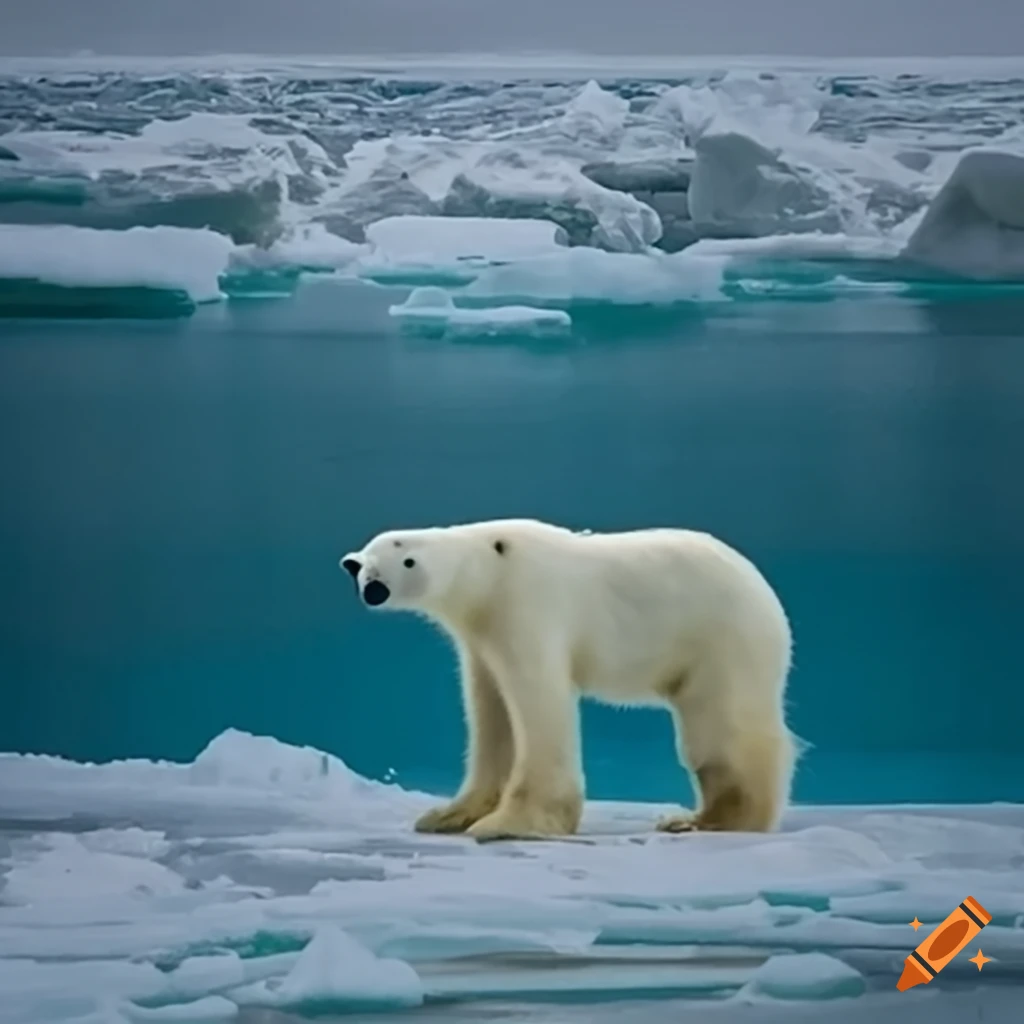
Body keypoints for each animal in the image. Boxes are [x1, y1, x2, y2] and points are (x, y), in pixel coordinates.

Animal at [340, 518, 797, 842]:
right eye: (363, 567)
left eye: (408, 561)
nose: (375, 589)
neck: (488, 573)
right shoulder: (480, 640)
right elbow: (491, 711)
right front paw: (446, 815)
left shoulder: (525, 606)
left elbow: (537, 701)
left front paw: (509, 824)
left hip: (721, 641)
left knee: (721, 732)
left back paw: (706, 820)